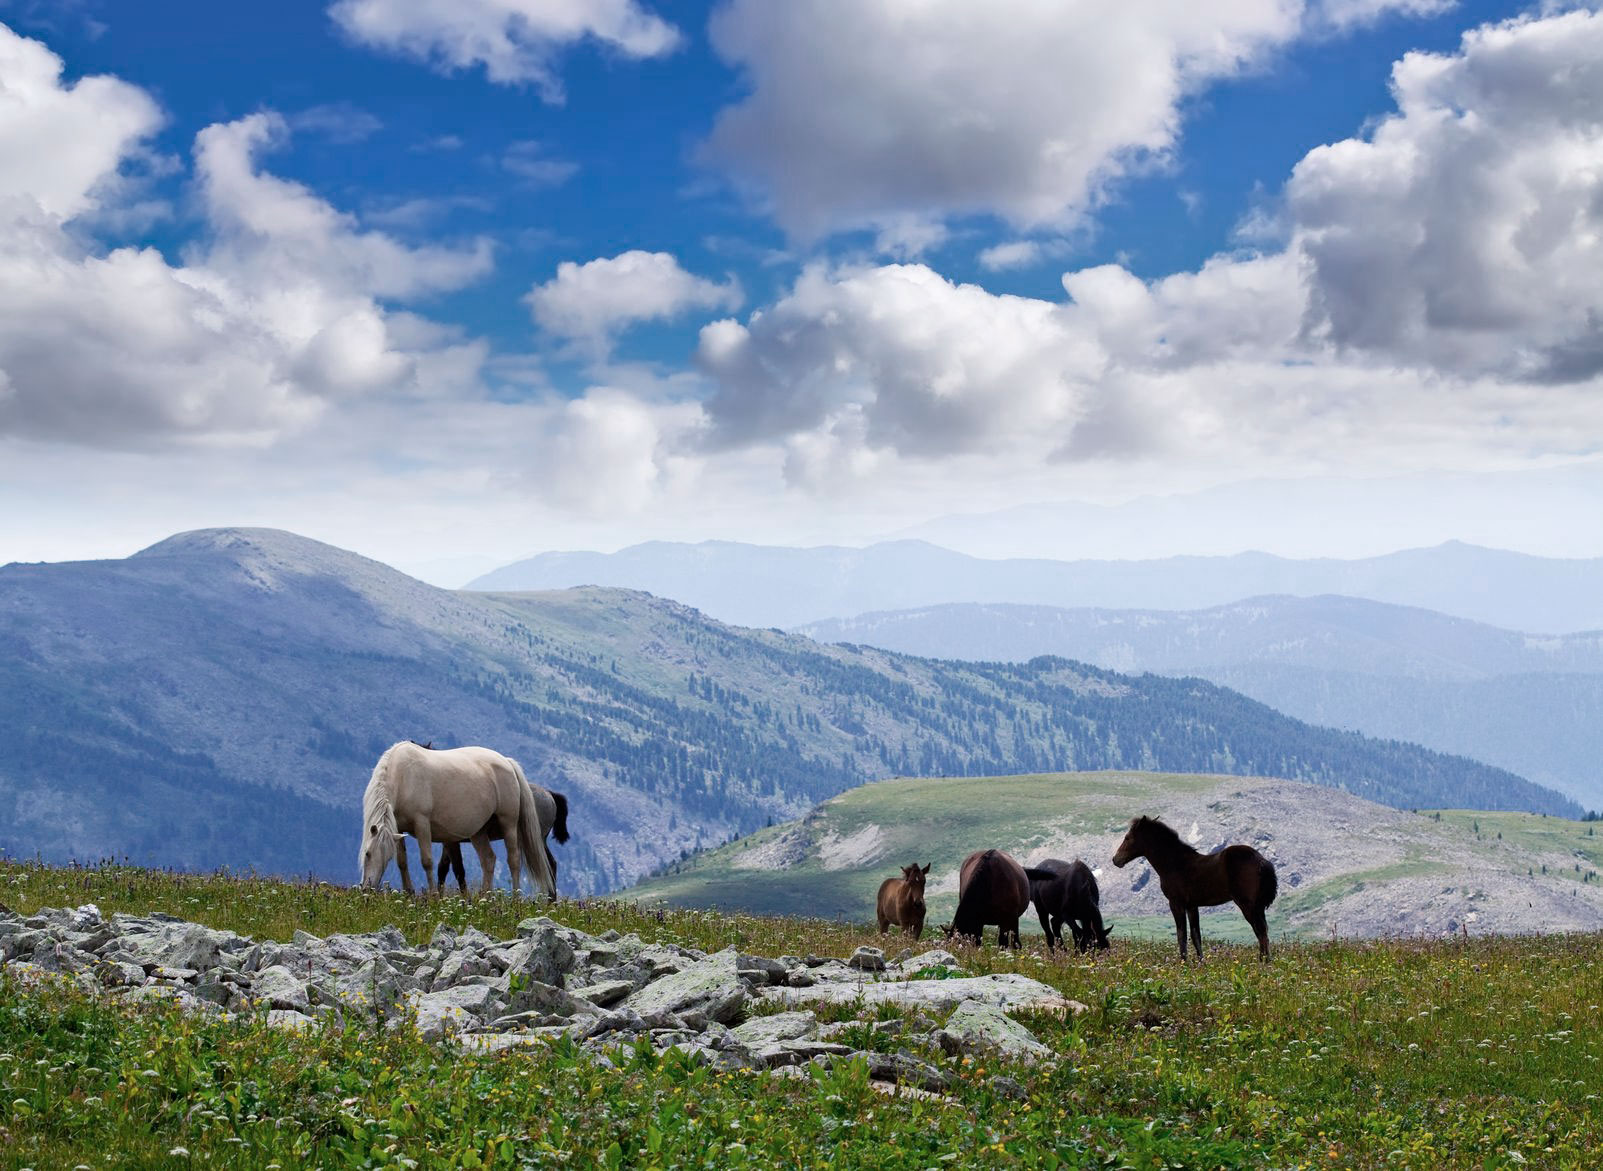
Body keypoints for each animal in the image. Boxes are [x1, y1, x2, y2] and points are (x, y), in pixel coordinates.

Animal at [439, 781, 570, 890]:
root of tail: (549, 794)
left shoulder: (451, 841)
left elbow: (458, 869)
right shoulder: (447, 842)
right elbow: (442, 868)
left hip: (537, 840)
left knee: (549, 865)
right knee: (551, 865)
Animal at [1115, 813, 1275, 961]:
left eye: (1127, 837)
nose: (1116, 860)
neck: (1174, 863)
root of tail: (1260, 859)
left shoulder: (1176, 903)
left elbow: (1182, 935)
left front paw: (1183, 963)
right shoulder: (1192, 906)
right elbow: (1195, 935)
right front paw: (1200, 963)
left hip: (1247, 904)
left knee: (1260, 931)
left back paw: (1263, 962)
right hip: (1258, 905)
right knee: (1264, 930)